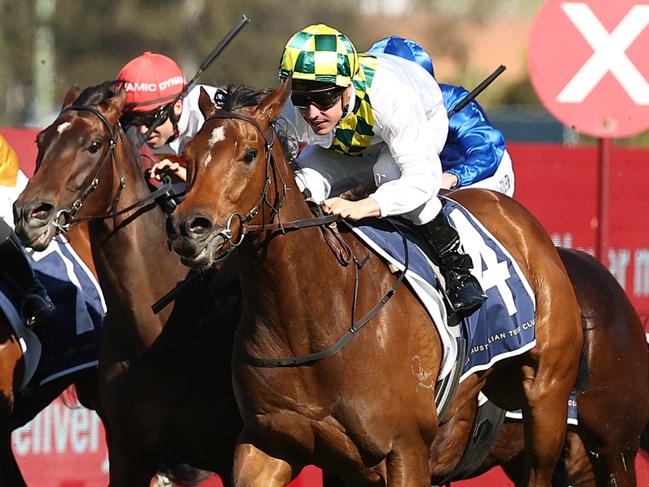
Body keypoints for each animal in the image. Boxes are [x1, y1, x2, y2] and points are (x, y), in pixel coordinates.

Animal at [166, 82, 584, 486]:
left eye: (249, 154)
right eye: (188, 153)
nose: (189, 227)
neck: (309, 321)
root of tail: (513, 214)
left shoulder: (407, 450)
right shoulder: (266, 443)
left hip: (546, 399)